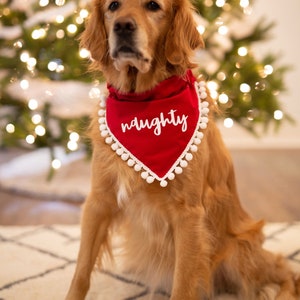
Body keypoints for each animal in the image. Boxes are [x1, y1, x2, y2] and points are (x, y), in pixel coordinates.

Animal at [66, 0, 300, 298]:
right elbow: (81, 271)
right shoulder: (99, 200)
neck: (143, 102)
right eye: (113, 5)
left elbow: (183, 283)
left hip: (239, 254)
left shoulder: (187, 214)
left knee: (284, 270)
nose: (123, 26)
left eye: (153, 5)